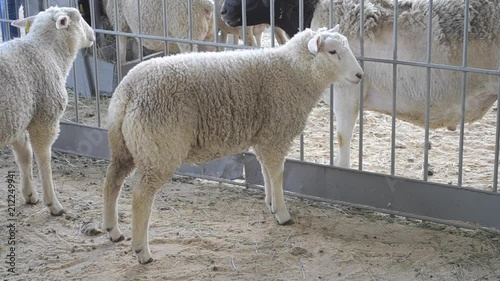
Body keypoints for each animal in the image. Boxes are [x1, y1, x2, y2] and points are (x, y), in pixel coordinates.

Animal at [0, 5, 95, 214]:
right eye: (79, 18)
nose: (94, 34)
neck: (46, 50)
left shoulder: (17, 116)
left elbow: (25, 155)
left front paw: (29, 194)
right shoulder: (44, 118)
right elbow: (43, 158)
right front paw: (53, 204)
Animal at [103, 25, 366, 262]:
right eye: (332, 51)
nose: (360, 75)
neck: (292, 72)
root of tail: (129, 91)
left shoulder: (264, 137)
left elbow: (266, 172)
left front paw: (270, 203)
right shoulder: (276, 134)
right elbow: (278, 174)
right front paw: (282, 213)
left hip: (124, 147)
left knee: (112, 181)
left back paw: (113, 231)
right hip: (159, 149)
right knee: (140, 196)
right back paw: (142, 251)